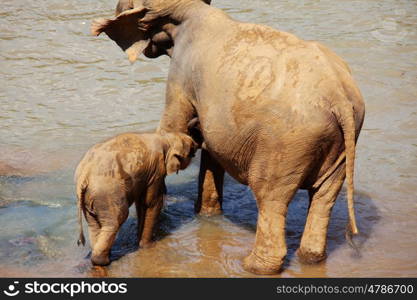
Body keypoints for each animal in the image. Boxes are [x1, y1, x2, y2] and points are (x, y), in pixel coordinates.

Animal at [75, 131, 197, 264]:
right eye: (192, 151)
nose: (197, 145)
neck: (165, 137)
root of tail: (85, 174)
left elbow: (141, 203)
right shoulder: (156, 169)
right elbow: (152, 203)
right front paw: (148, 246)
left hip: (89, 198)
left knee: (94, 224)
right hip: (107, 194)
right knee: (117, 219)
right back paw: (103, 261)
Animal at [92, 0, 364, 274]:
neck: (191, 9)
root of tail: (339, 97)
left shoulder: (181, 74)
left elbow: (172, 128)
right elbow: (211, 151)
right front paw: (206, 215)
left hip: (287, 144)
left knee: (270, 195)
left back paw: (252, 266)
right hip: (340, 143)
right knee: (323, 196)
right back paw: (310, 258)